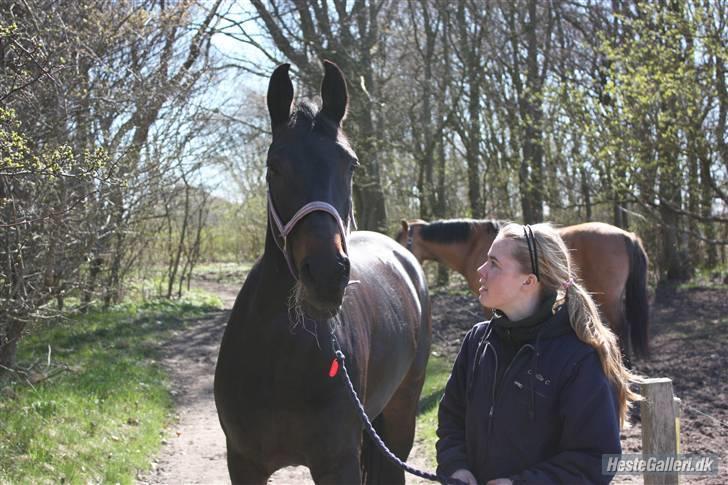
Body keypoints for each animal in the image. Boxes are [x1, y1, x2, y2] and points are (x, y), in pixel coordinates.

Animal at [216, 61, 432, 484]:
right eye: (274, 166)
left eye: (351, 164)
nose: (326, 274)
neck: (280, 354)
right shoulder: (243, 463)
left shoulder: (337, 463)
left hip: (400, 416)